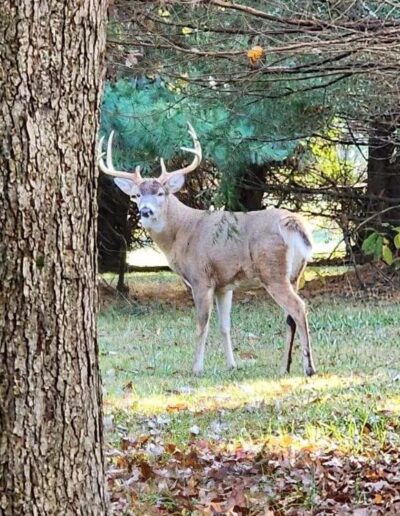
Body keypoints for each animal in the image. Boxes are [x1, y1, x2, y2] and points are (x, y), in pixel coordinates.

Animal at [97, 123, 316, 376]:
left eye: (161, 193)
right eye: (136, 195)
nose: (145, 211)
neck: (182, 232)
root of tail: (294, 224)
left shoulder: (201, 278)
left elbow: (202, 324)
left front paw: (197, 368)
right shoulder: (225, 284)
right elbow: (225, 325)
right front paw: (232, 365)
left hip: (272, 271)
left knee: (299, 308)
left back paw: (309, 367)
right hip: (295, 274)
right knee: (290, 317)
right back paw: (284, 367)